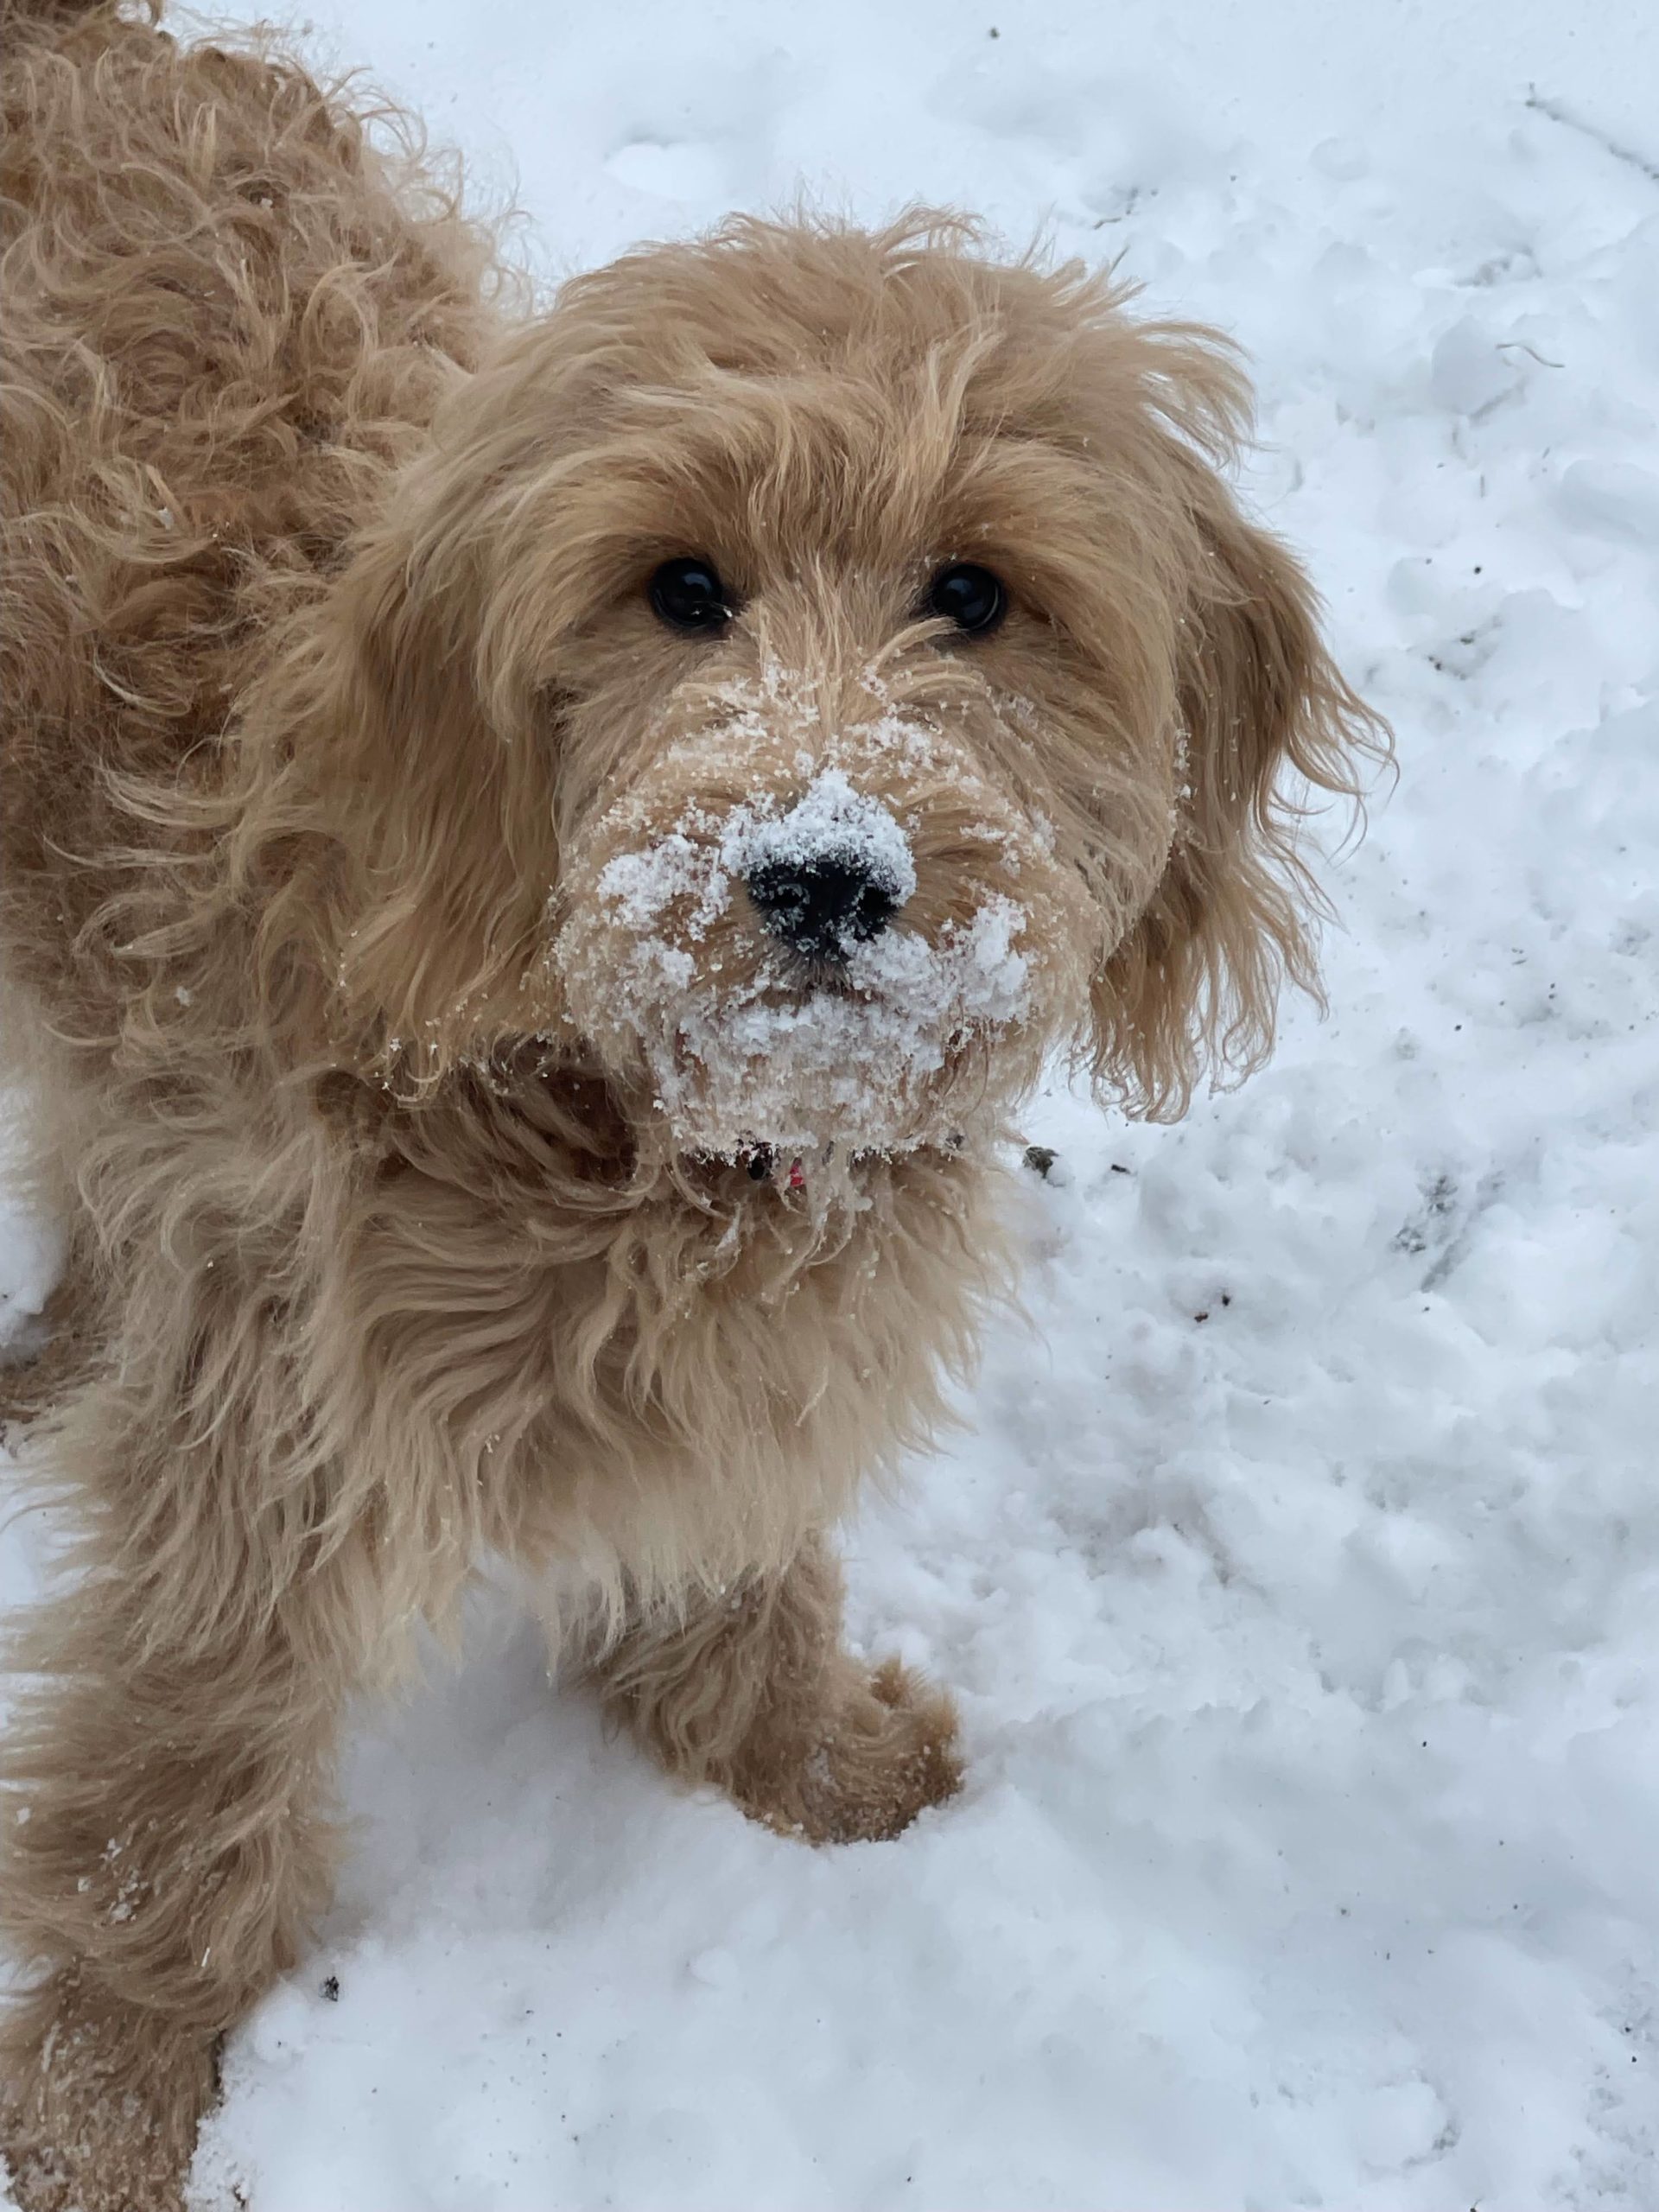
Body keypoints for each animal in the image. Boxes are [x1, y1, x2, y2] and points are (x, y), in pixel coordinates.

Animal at [0, 0, 1380, 2202]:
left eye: (974, 593)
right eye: (678, 587)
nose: (821, 871)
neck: (610, 1106)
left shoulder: (736, 1354)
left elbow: (742, 1530)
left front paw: (797, 1751)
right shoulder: (274, 1404)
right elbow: (184, 1747)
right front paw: (108, 2086)